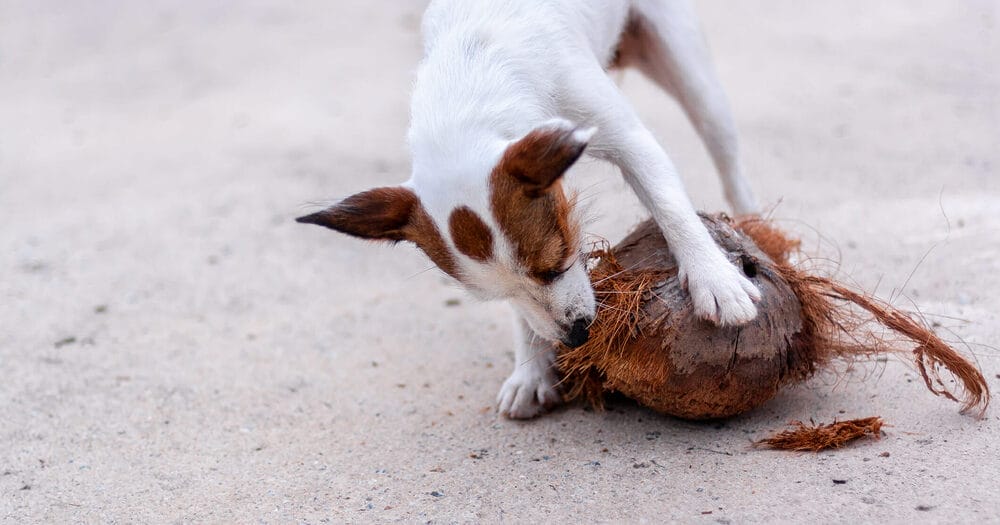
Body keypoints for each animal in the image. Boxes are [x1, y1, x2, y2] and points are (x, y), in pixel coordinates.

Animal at [300, 0, 760, 418]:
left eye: (557, 265)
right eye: (497, 295)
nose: (575, 337)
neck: (472, 73)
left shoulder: (629, 140)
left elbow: (671, 207)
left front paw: (714, 279)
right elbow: (523, 311)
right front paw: (532, 369)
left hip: (689, 70)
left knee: (726, 155)